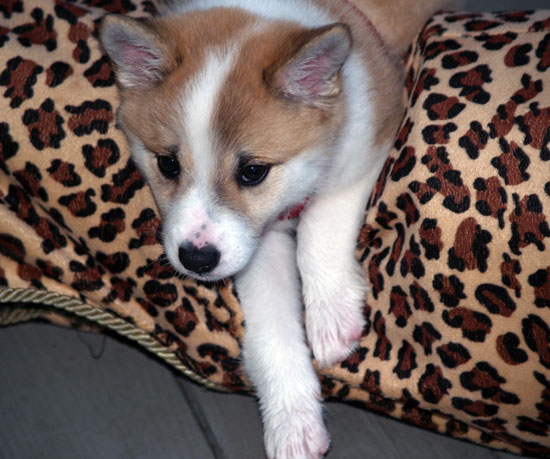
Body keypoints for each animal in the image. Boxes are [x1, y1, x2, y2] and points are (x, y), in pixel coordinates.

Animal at [101, 1, 454, 458]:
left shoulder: (369, 146)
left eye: (253, 172)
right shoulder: (256, 243)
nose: (197, 259)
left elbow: (319, 224)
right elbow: (272, 330)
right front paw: (292, 419)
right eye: (167, 164)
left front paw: (331, 317)